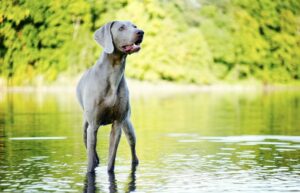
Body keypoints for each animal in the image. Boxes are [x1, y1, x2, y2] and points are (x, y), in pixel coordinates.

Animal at [76, 20, 144, 172]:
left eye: (135, 26)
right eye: (121, 28)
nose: (141, 32)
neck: (113, 73)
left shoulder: (118, 124)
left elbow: (111, 159)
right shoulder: (93, 125)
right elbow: (90, 157)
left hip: (128, 125)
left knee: (133, 149)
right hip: (85, 127)